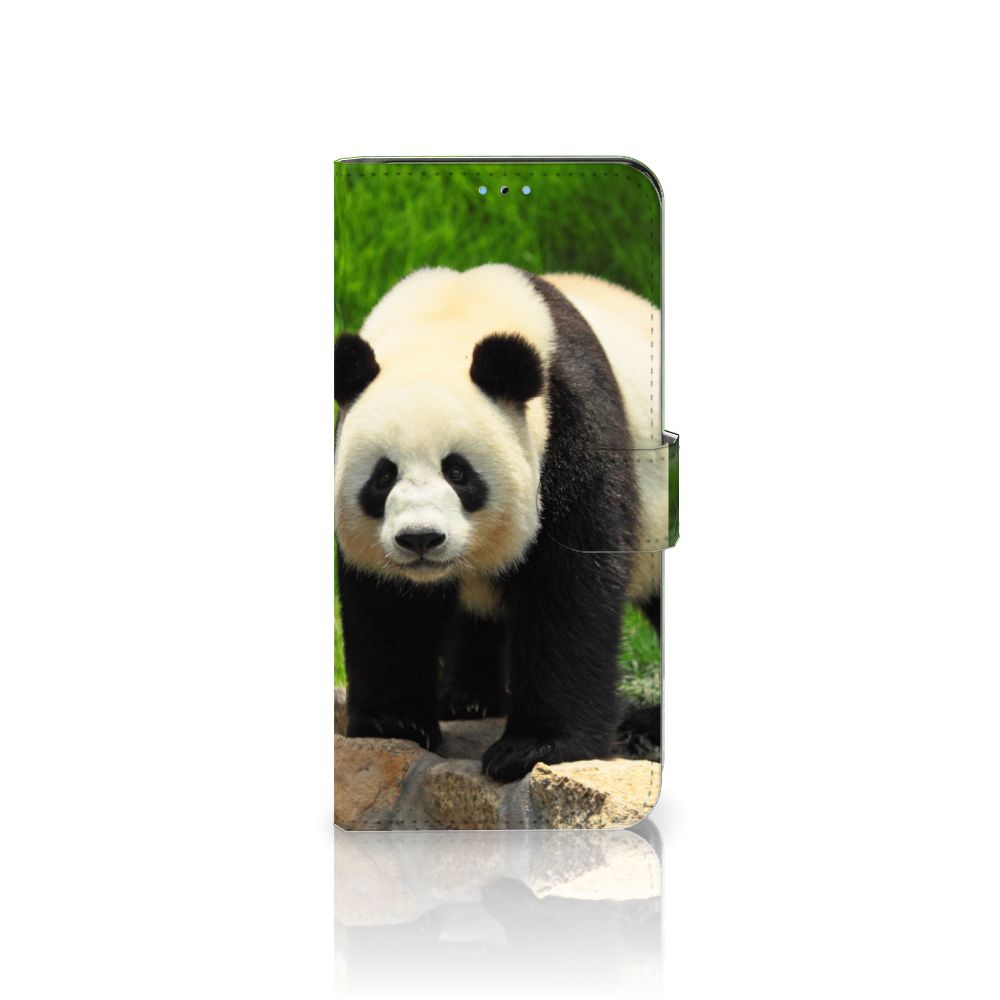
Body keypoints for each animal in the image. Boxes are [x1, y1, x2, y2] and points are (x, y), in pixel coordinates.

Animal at [335, 263, 665, 781]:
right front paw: (395, 723)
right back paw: (468, 698)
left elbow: (568, 586)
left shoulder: (571, 424)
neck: (448, 317)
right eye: (383, 476)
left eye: (458, 472)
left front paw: (534, 748)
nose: (421, 539)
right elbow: (387, 603)